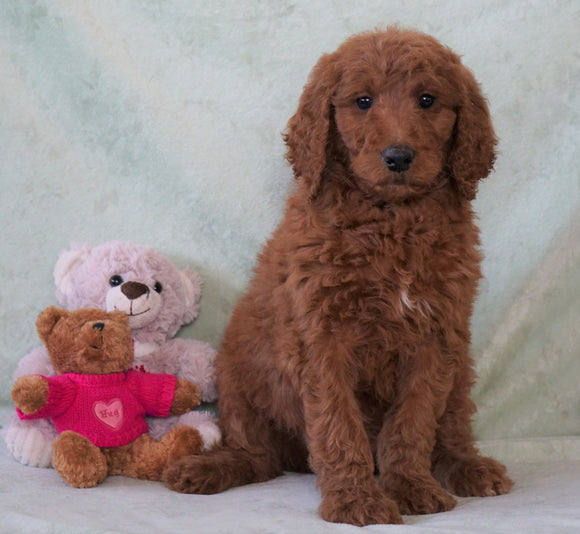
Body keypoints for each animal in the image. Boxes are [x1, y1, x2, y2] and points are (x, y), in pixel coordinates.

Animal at [164, 27, 512, 524]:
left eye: (427, 100)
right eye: (363, 101)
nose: (398, 156)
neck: (390, 220)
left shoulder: (436, 335)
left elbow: (414, 421)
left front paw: (409, 485)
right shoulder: (321, 338)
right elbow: (337, 424)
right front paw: (356, 500)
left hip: (461, 366)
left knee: (453, 425)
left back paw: (468, 466)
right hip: (238, 375)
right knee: (258, 456)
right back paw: (208, 468)